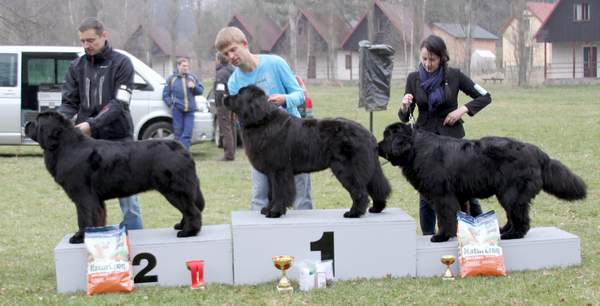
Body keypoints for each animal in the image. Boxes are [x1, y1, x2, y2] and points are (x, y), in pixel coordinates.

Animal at [24, 112, 204, 244]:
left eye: (37, 121)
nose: (27, 123)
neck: (64, 146)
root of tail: (182, 149)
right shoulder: (95, 199)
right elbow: (98, 216)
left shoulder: (83, 195)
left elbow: (84, 217)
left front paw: (79, 237)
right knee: (190, 207)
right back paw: (181, 225)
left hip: (173, 189)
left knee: (192, 210)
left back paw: (188, 232)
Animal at [225, 83, 390, 218]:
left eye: (239, 93)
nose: (225, 96)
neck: (261, 120)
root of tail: (368, 133)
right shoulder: (271, 172)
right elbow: (272, 192)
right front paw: (268, 209)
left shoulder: (279, 170)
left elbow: (280, 191)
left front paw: (275, 212)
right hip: (368, 168)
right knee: (377, 187)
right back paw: (376, 208)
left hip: (347, 169)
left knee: (360, 191)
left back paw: (354, 213)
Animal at [380, 121, 584, 241]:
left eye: (387, 136)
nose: (377, 145)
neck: (416, 148)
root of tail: (536, 151)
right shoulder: (459, 196)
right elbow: (458, 214)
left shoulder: (442, 195)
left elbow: (445, 216)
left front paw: (442, 236)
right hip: (508, 193)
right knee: (512, 215)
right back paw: (503, 230)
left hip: (512, 193)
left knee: (520, 217)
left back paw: (513, 234)